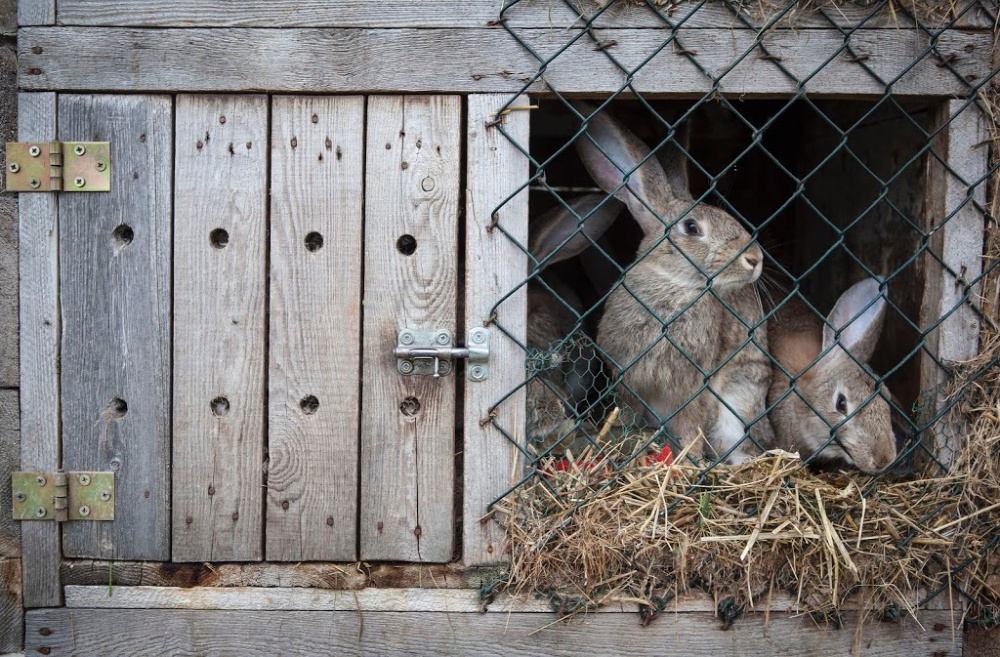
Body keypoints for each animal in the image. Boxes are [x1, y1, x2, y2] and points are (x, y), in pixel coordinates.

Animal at [572, 104, 772, 462]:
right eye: (691, 228)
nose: (754, 259)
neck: (674, 285)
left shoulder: (695, 384)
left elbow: (692, 422)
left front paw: (688, 458)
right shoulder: (628, 378)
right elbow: (628, 411)